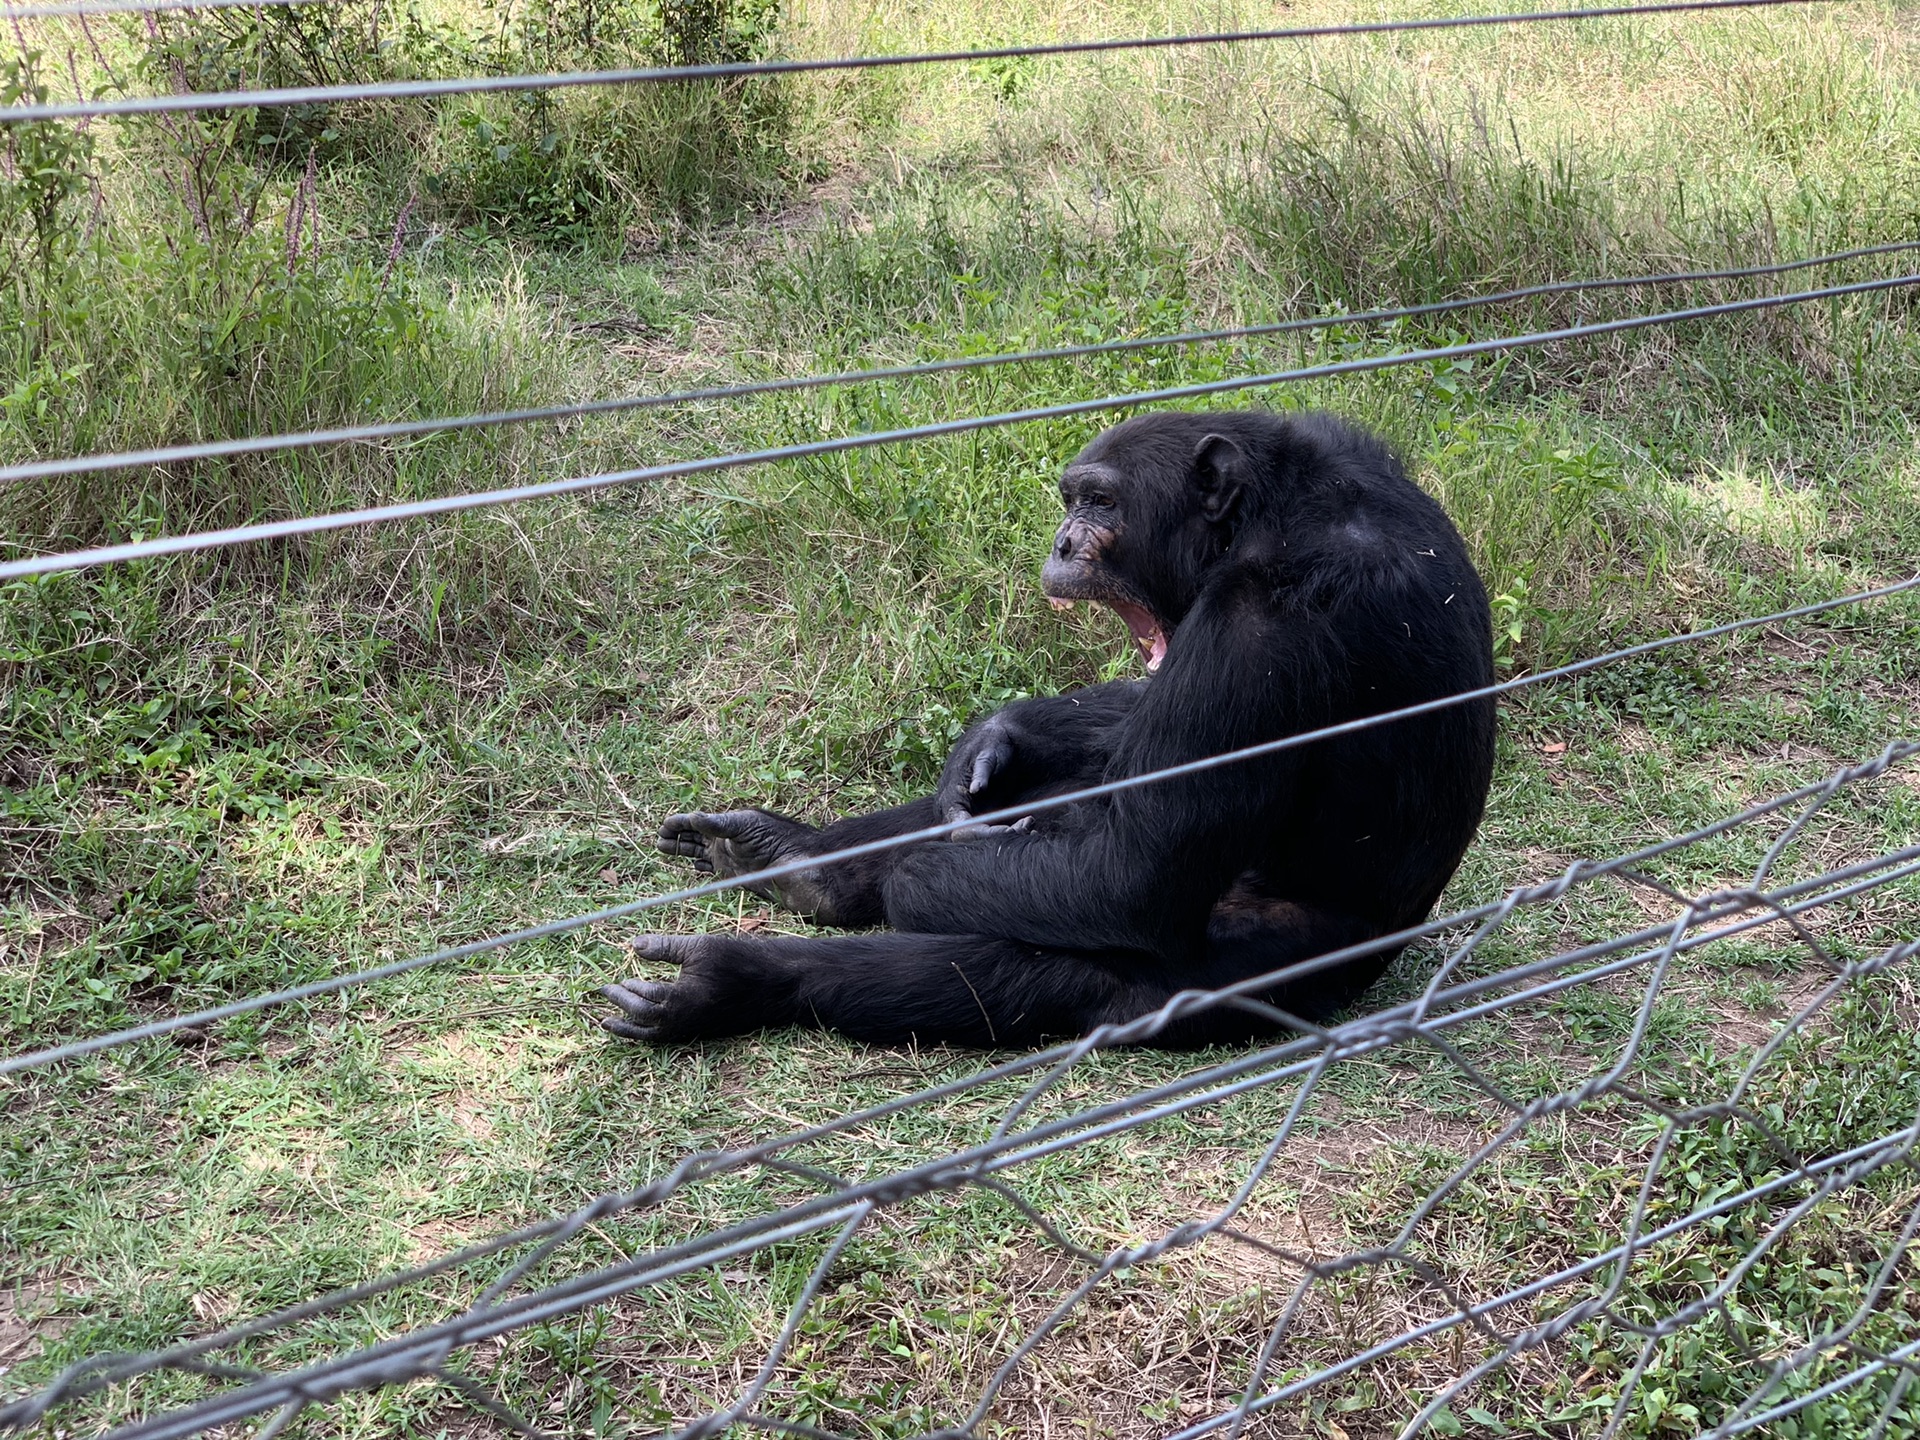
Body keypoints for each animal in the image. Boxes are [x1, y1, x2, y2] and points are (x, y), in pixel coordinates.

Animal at [599, 407, 1497, 1052]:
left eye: (1100, 502)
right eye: (1073, 500)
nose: (1063, 540)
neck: (1273, 514)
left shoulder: (1259, 632)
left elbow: (1130, 874)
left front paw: (912, 879)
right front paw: (996, 735)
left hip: (1268, 966)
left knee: (1051, 969)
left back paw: (732, 978)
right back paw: (786, 858)